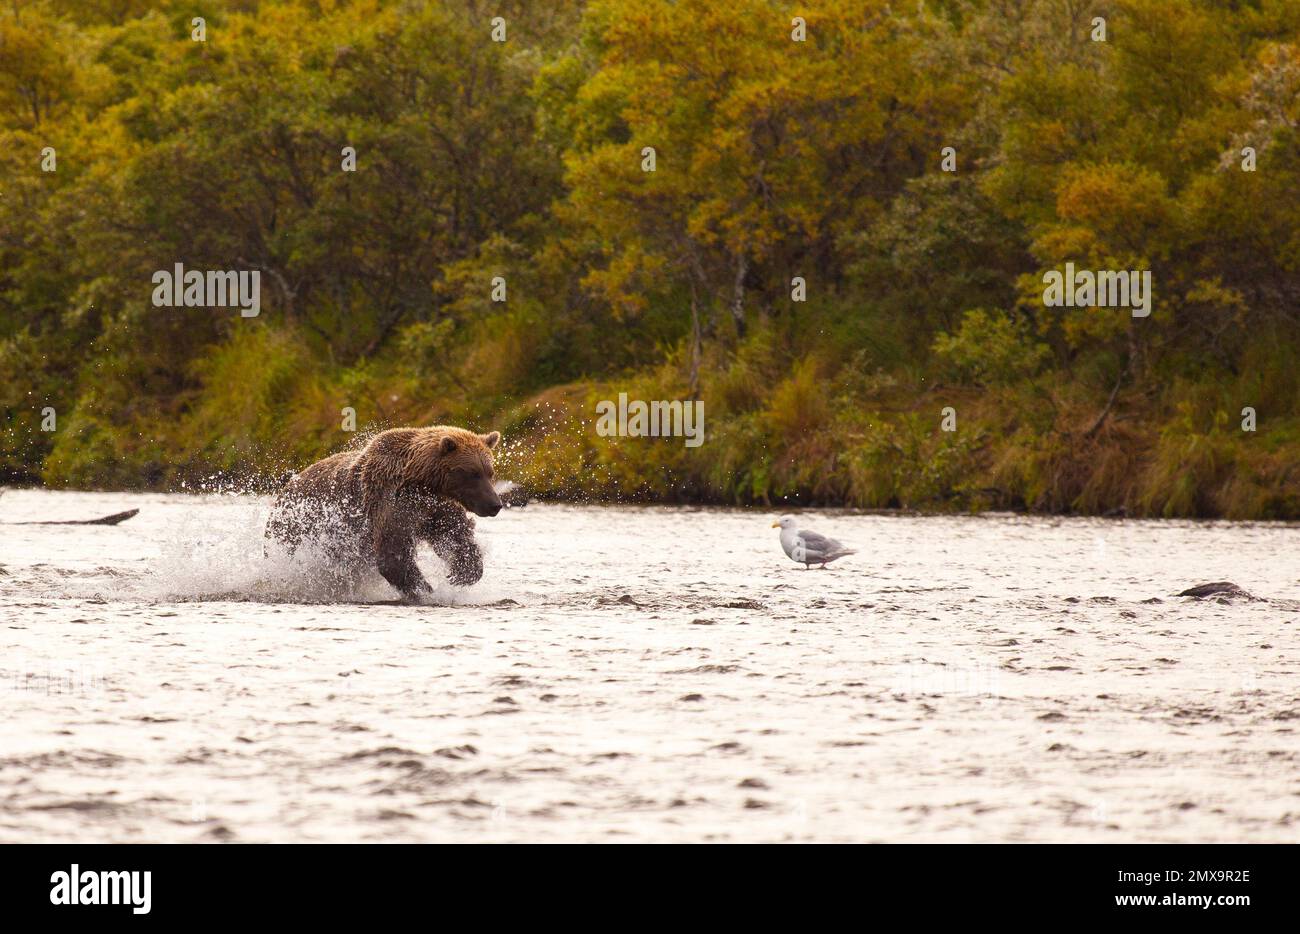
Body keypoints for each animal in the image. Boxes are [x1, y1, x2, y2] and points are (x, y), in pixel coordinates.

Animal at [265, 426, 503, 599]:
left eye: (489, 472)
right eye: (472, 473)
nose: (494, 504)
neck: (422, 483)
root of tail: (284, 489)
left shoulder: (434, 507)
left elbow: (455, 534)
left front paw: (460, 573)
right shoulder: (388, 500)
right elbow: (392, 550)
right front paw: (425, 589)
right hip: (295, 529)